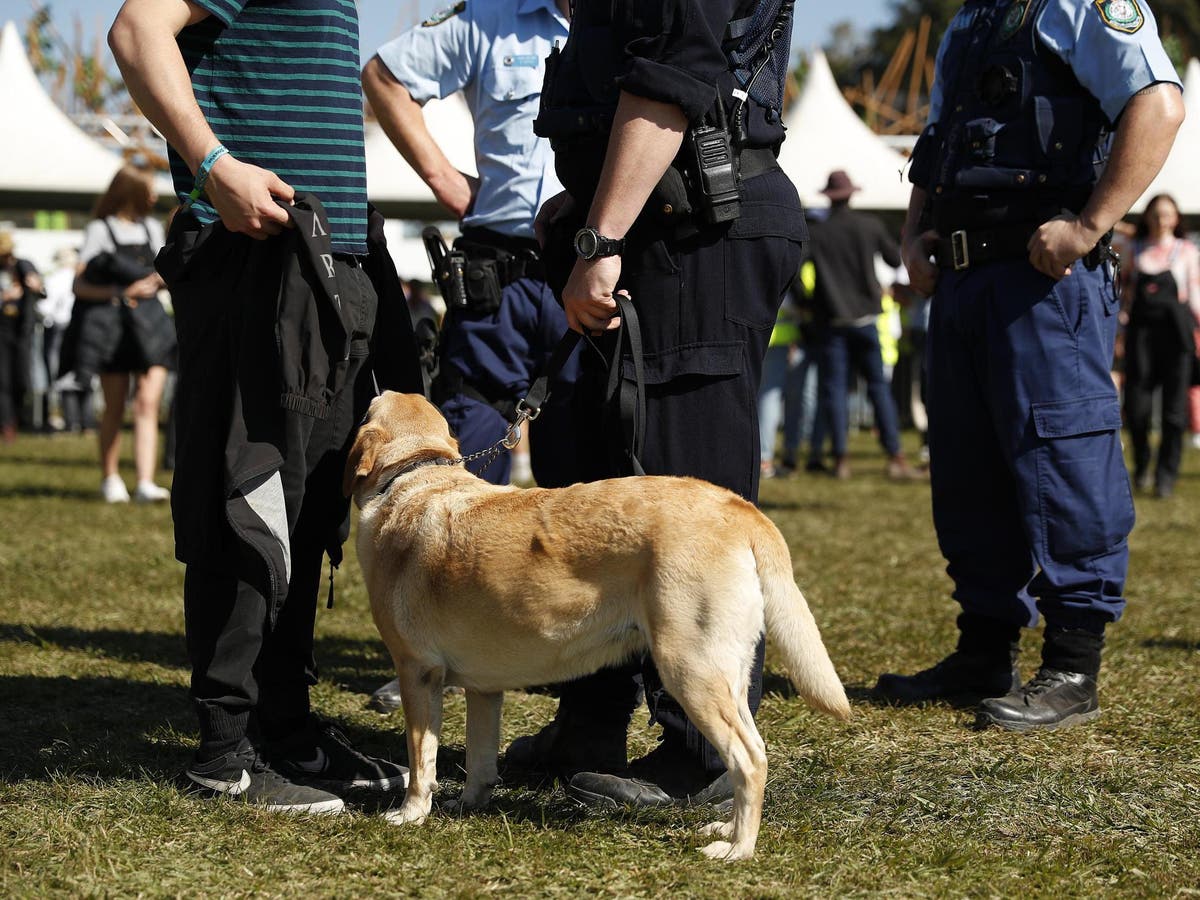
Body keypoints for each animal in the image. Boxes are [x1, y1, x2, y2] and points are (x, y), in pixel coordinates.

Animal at [345, 393, 854, 859]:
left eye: (366, 407)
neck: (414, 476)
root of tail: (738, 507)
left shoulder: (417, 672)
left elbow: (420, 759)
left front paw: (410, 813)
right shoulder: (484, 688)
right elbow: (480, 755)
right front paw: (469, 803)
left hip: (690, 669)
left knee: (750, 759)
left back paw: (737, 849)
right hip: (725, 673)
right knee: (751, 753)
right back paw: (725, 829)